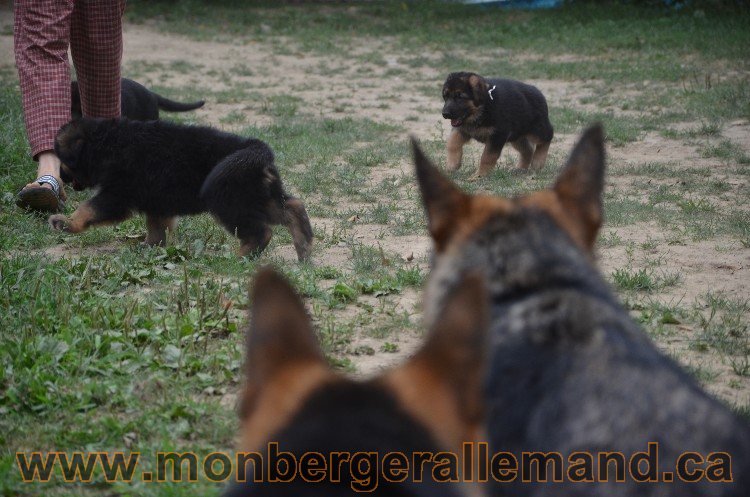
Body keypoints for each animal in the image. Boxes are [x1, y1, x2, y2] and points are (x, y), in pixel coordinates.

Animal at [50, 118, 312, 262]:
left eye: (62, 158)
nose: (62, 177)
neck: (108, 142)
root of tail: (257, 150)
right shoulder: (155, 200)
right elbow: (156, 226)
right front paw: (150, 247)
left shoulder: (117, 194)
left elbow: (88, 208)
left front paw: (67, 223)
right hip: (256, 196)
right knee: (292, 207)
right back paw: (304, 247)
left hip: (228, 201)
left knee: (262, 232)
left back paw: (238, 258)